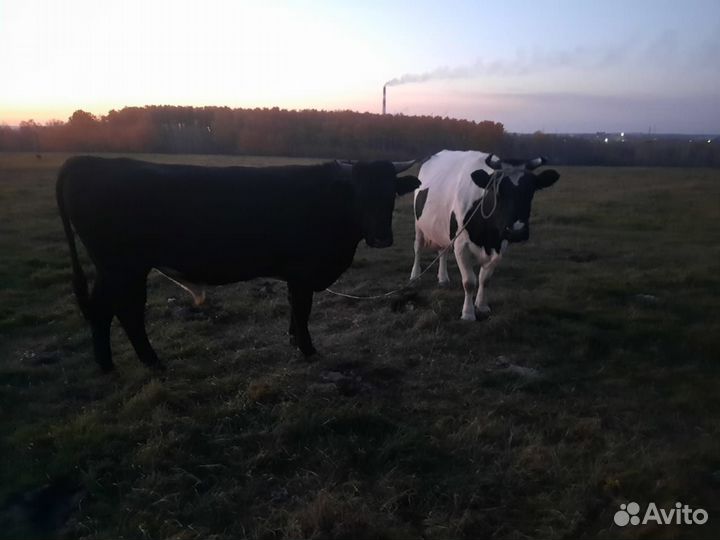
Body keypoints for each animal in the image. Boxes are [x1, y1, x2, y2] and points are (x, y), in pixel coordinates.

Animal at [57, 156, 420, 371]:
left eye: (391, 193)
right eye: (359, 193)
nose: (382, 238)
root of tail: (91, 160)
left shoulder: (295, 274)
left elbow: (293, 308)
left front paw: (294, 341)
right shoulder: (303, 271)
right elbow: (302, 309)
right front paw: (307, 349)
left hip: (118, 269)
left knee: (111, 310)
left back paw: (119, 363)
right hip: (122, 267)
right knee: (119, 311)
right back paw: (141, 363)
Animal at [410, 150, 559, 320]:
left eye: (531, 190)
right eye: (497, 190)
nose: (517, 231)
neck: (488, 237)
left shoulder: (500, 245)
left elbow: (485, 279)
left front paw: (481, 306)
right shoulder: (461, 246)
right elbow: (469, 282)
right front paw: (468, 313)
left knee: (442, 250)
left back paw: (443, 278)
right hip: (419, 225)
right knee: (418, 248)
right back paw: (415, 276)